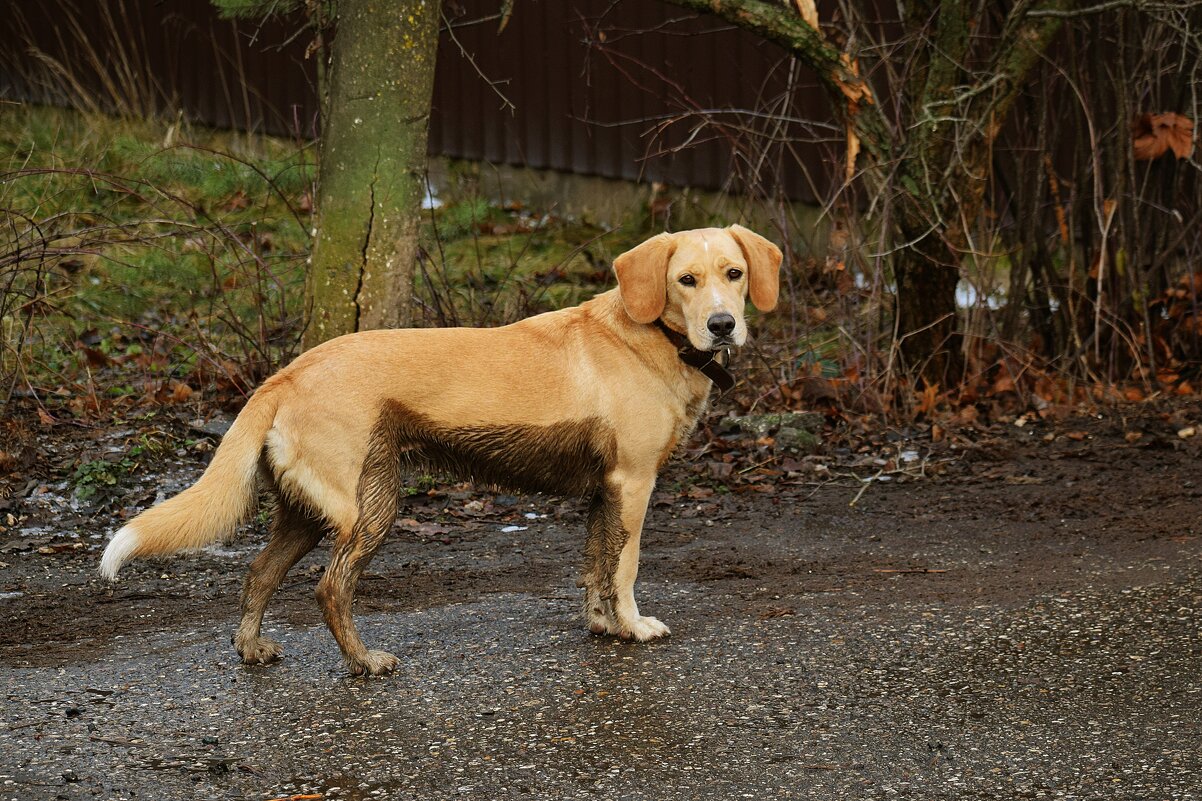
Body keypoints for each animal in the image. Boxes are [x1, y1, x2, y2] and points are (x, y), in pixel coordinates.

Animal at [100, 224, 778, 673]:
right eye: (685, 280)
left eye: (735, 274)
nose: (723, 325)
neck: (654, 336)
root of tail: (288, 373)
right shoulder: (633, 485)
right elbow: (626, 567)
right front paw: (634, 628)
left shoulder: (602, 493)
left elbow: (595, 568)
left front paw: (602, 626)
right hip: (368, 509)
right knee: (329, 590)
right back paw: (366, 663)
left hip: (307, 512)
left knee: (260, 573)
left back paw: (252, 648)